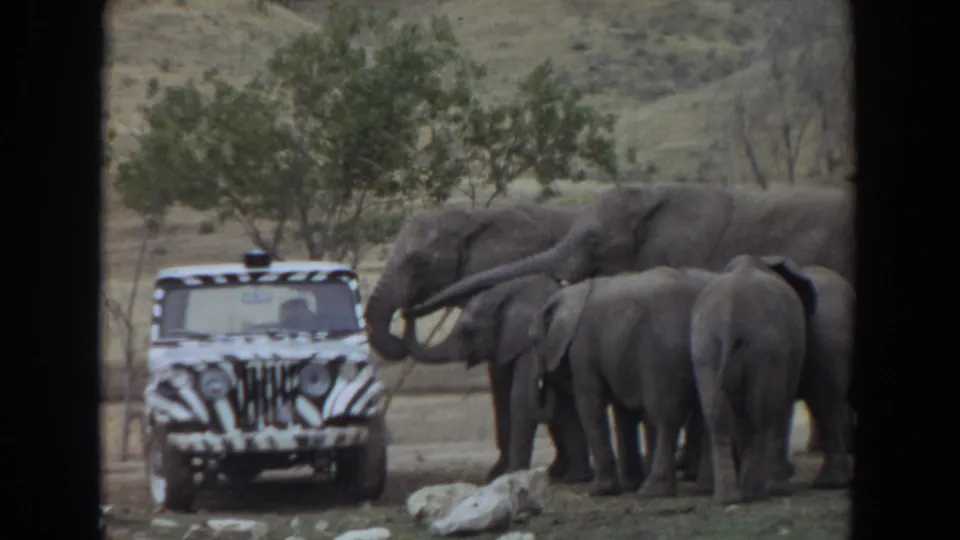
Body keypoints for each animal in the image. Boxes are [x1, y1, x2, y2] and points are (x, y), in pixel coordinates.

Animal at [528, 267, 717, 497]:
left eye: (533, 341)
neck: (570, 293)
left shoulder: (582, 347)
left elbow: (590, 404)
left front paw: (600, 491)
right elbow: (623, 411)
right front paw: (628, 485)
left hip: (663, 355)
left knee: (664, 416)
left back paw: (651, 491)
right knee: (703, 414)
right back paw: (704, 488)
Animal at [690, 255, 816, 504]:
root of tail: (730, 317)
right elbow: (783, 405)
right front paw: (781, 488)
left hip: (705, 347)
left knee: (720, 416)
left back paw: (727, 498)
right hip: (766, 349)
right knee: (760, 414)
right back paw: (753, 494)